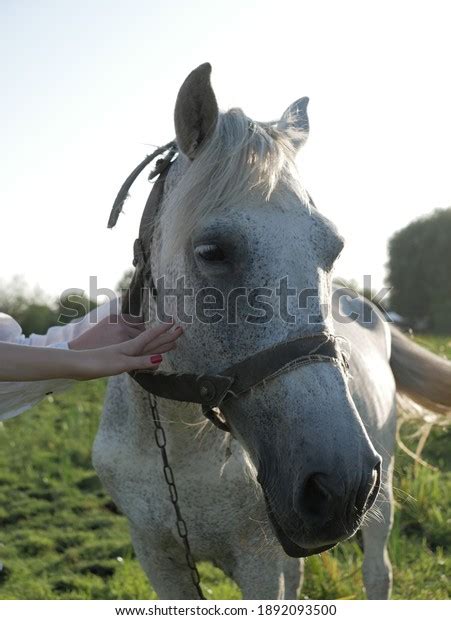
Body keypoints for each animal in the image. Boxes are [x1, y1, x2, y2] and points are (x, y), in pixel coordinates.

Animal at [93, 64, 451, 600]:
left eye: (333, 248)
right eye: (212, 251)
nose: (341, 484)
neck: (179, 449)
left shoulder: (258, 562)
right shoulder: (159, 558)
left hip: (382, 491)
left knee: (377, 571)